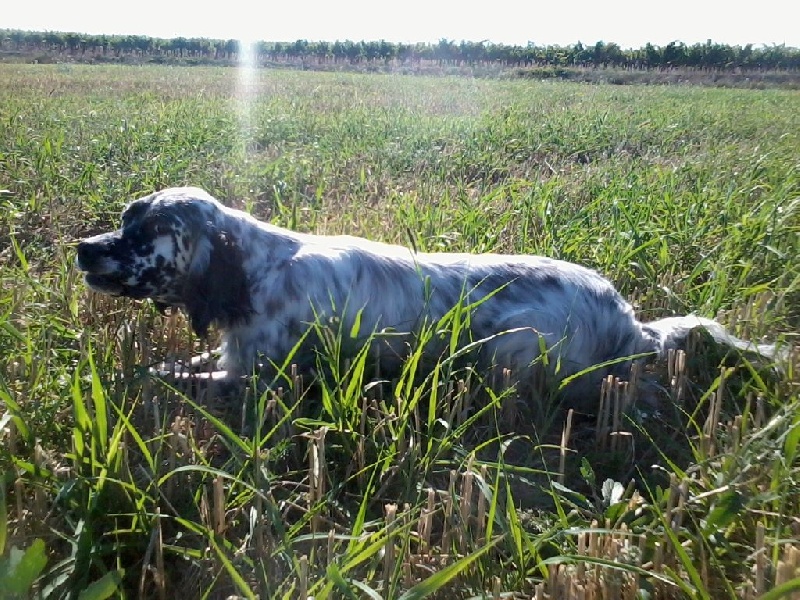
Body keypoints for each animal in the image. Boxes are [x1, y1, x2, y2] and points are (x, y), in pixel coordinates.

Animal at [76, 186, 780, 408]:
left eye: (142, 231)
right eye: (124, 217)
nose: (83, 248)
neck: (256, 269)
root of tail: (631, 323)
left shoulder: (252, 376)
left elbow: (163, 376)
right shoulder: (233, 355)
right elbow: (165, 365)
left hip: (512, 345)